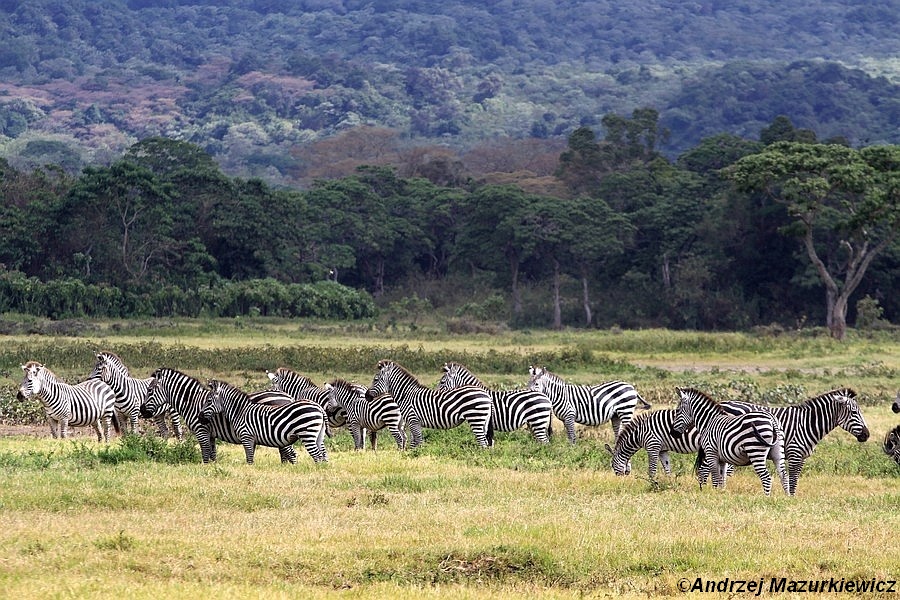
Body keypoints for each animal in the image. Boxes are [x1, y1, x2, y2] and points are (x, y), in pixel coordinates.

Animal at [139, 366, 298, 464]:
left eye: (150, 391)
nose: (142, 411)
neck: (192, 402)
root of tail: (288, 397)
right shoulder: (210, 434)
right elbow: (212, 455)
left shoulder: (201, 430)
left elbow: (205, 454)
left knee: (290, 453)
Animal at [368, 358, 496, 448]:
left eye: (375, 379)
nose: (366, 396)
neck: (406, 395)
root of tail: (487, 395)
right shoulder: (413, 423)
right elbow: (414, 443)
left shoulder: (413, 420)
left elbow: (418, 442)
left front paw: (417, 456)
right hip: (483, 421)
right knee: (487, 442)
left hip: (476, 418)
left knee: (483, 443)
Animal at [524, 364, 652, 442]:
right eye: (528, 384)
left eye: (536, 384)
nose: (528, 396)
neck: (560, 395)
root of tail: (631, 387)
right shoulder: (565, 419)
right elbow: (569, 436)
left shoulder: (570, 416)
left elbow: (572, 437)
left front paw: (572, 451)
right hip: (616, 415)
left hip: (626, 410)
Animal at [716, 386, 872, 494]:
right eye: (854, 412)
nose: (867, 435)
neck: (807, 423)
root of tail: (722, 402)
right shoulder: (794, 453)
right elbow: (792, 479)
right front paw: (790, 498)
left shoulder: (802, 456)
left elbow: (794, 480)